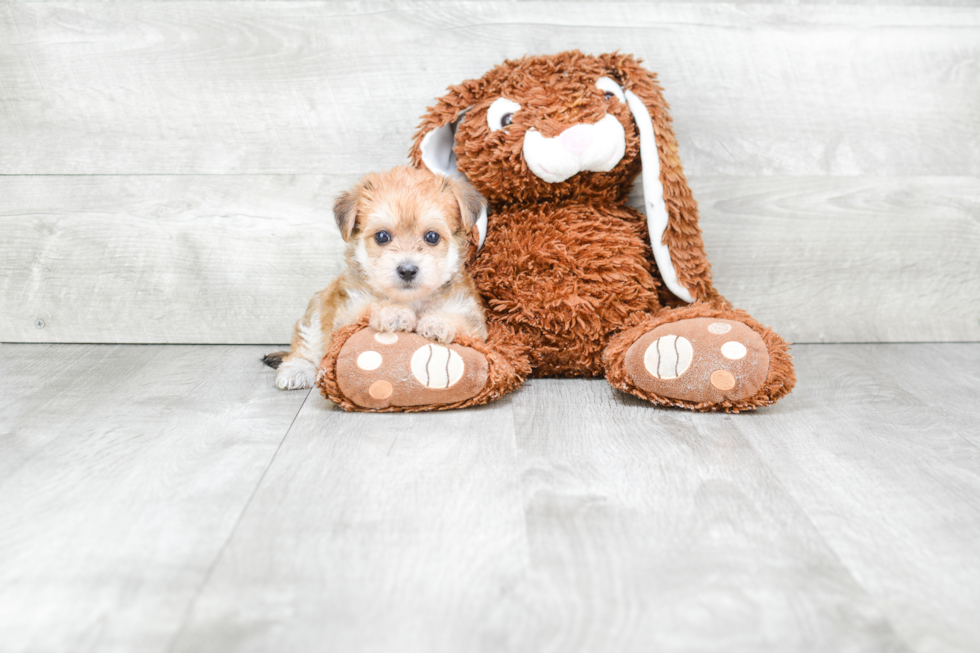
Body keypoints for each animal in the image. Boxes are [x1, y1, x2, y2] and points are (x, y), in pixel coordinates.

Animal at [266, 166, 488, 390]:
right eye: (382, 236)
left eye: (432, 237)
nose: (407, 270)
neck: (411, 300)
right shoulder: (348, 313)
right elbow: (369, 305)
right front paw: (393, 312)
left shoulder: (472, 318)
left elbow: (462, 321)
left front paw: (438, 322)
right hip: (317, 310)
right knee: (306, 345)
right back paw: (297, 370)